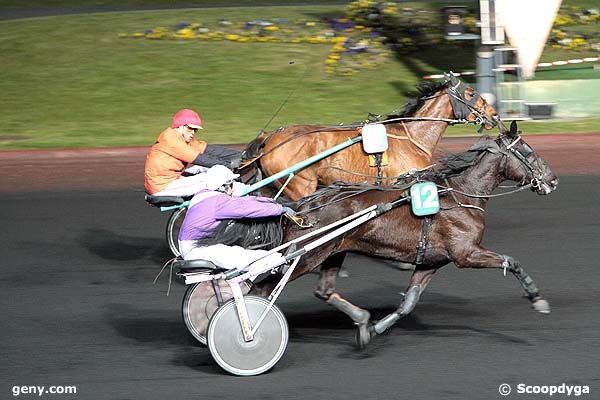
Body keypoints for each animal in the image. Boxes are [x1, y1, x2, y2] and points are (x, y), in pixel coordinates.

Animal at [241, 72, 500, 200]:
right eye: (470, 92)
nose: (494, 114)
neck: (412, 137)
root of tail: (270, 139)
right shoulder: (401, 181)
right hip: (300, 185)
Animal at [252, 122, 556, 346]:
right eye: (527, 151)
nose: (552, 180)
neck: (459, 195)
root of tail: (301, 208)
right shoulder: (466, 253)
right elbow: (511, 261)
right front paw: (537, 298)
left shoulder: (431, 261)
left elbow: (408, 303)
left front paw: (377, 328)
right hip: (306, 256)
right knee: (263, 287)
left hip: (334, 251)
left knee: (323, 290)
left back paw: (362, 320)